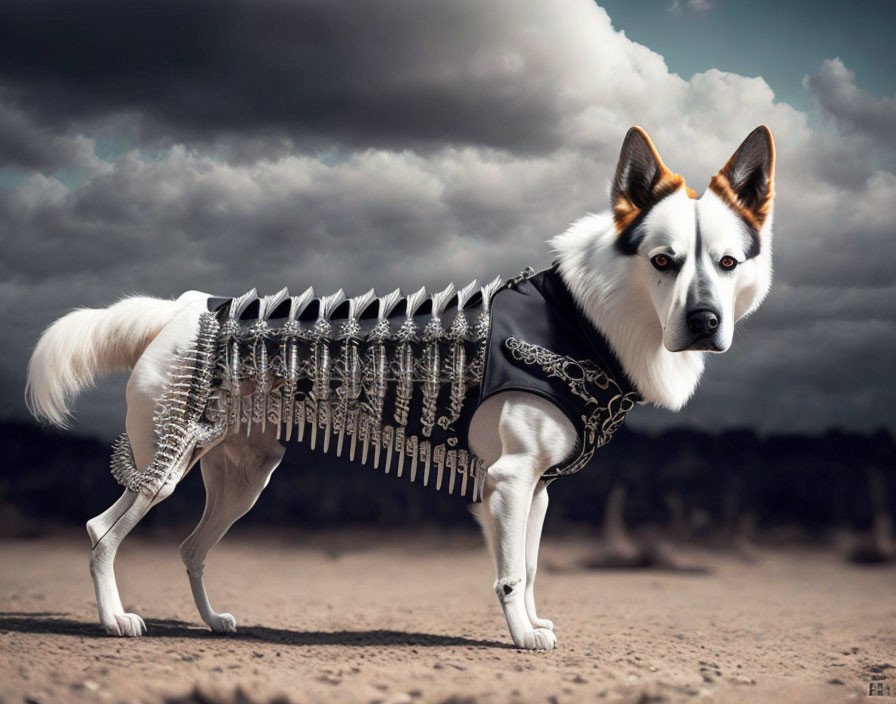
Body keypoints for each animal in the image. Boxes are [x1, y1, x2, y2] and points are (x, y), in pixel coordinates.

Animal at [24, 126, 772, 648]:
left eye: (728, 262)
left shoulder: (536, 491)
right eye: (663, 261)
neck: (583, 315)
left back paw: (214, 625)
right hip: (165, 464)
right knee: (100, 532)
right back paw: (116, 622)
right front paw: (523, 642)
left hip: (242, 479)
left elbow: (529, 568)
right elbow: (511, 573)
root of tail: (179, 307)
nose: (705, 323)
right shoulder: (509, 479)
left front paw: (533, 628)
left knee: (189, 548)